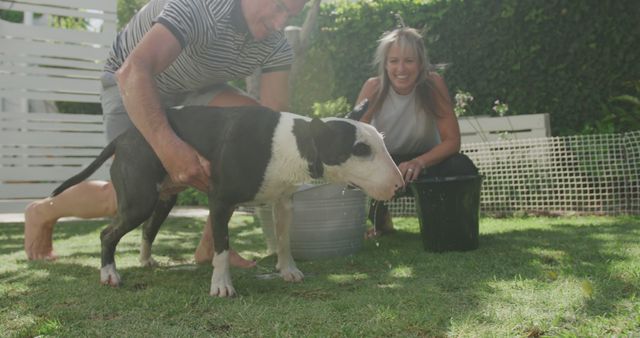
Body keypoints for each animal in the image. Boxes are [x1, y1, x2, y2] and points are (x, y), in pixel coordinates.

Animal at [52, 102, 402, 296]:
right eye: (360, 150)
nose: (399, 185)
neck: (290, 144)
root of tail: (123, 138)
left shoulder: (284, 203)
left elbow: (284, 240)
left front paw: (288, 270)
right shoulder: (220, 204)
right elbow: (221, 248)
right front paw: (221, 285)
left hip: (162, 199)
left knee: (148, 229)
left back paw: (147, 260)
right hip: (139, 200)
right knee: (107, 233)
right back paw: (109, 274)